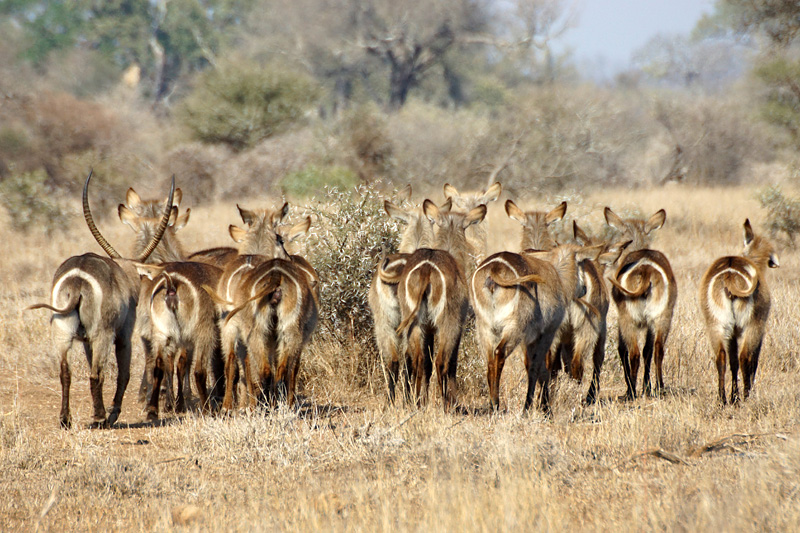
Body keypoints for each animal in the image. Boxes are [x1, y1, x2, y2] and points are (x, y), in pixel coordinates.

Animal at [27, 170, 173, 428]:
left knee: (66, 372)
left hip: (63, 333)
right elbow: (124, 373)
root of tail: (77, 280)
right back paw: (100, 418)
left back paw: (65, 419)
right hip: (102, 334)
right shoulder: (123, 335)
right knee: (97, 374)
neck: (123, 273)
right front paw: (113, 413)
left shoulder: (86, 340)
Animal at [370, 189, 434, 402]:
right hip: (409, 323)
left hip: (385, 323)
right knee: (410, 360)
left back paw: (392, 401)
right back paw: (409, 399)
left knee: (394, 360)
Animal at [390, 197, 484, 410]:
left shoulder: (429, 328)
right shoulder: (457, 324)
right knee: (442, 361)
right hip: (447, 321)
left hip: (415, 323)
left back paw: (417, 403)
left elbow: (426, 363)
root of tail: (427, 268)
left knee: (417, 359)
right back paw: (449, 405)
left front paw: (422, 399)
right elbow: (451, 363)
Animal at [608, 206, 676, 396]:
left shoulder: (622, 319)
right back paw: (660, 387)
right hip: (663, 317)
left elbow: (623, 349)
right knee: (658, 350)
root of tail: (646, 270)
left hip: (628, 319)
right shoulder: (651, 323)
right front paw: (647, 386)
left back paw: (630, 392)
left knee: (633, 353)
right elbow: (648, 350)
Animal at [696, 219, 780, 404]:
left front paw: (734, 396)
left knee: (721, 357)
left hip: (716, 325)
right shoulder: (759, 329)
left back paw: (723, 399)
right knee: (745, 357)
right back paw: (747, 396)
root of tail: (729, 275)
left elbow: (732, 362)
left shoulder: (732, 332)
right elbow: (753, 360)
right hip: (752, 325)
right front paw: (743, 394)